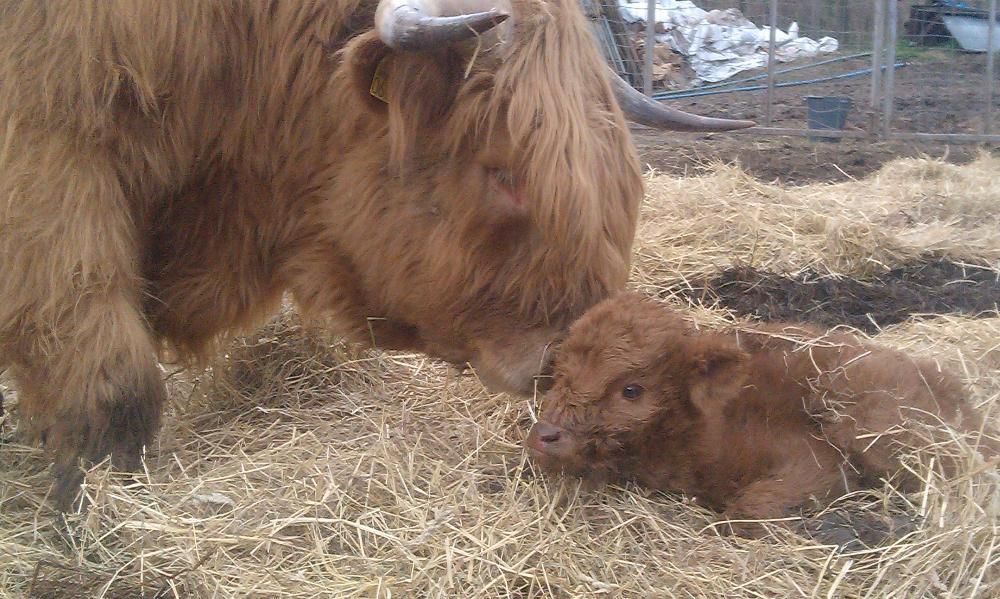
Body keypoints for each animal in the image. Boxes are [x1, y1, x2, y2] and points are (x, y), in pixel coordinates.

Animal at [528, 292, 996, 536]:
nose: (545, 435)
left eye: (631, 389)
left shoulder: (817, 463)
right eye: (561, 373)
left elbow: (747, 509)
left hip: (873, 430)